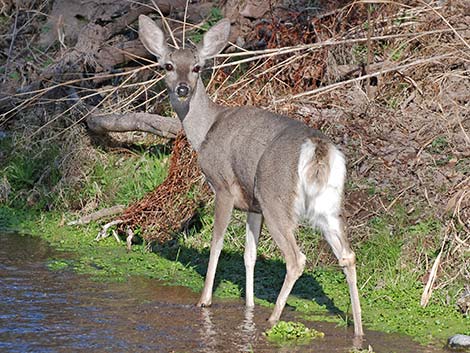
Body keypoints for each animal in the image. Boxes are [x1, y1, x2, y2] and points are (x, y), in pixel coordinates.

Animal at [138, 15, 366, 336]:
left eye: (197, 67)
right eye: (168, 66)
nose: (182, 89)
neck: (205, 131)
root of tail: (318, 148)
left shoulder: (223, 187)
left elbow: (217, 244)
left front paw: (204, 300)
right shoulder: (252, 204)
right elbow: (249, 255)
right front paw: (248, 306)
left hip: (275, 197)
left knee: (296, 259)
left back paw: (273, 318)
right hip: (328, 205)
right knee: (348, 255)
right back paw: (358, 330)